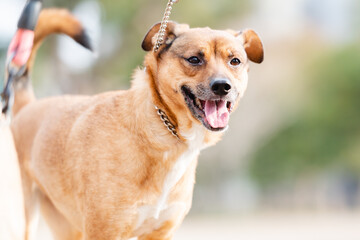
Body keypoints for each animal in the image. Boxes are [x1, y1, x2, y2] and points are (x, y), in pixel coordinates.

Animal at [11, 7, 262, 240]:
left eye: (235, 61)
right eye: (194, 59)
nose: (223, 86)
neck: (163, 133)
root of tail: (27, 106)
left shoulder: (160, 233)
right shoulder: (104, 231)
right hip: (24, 222)